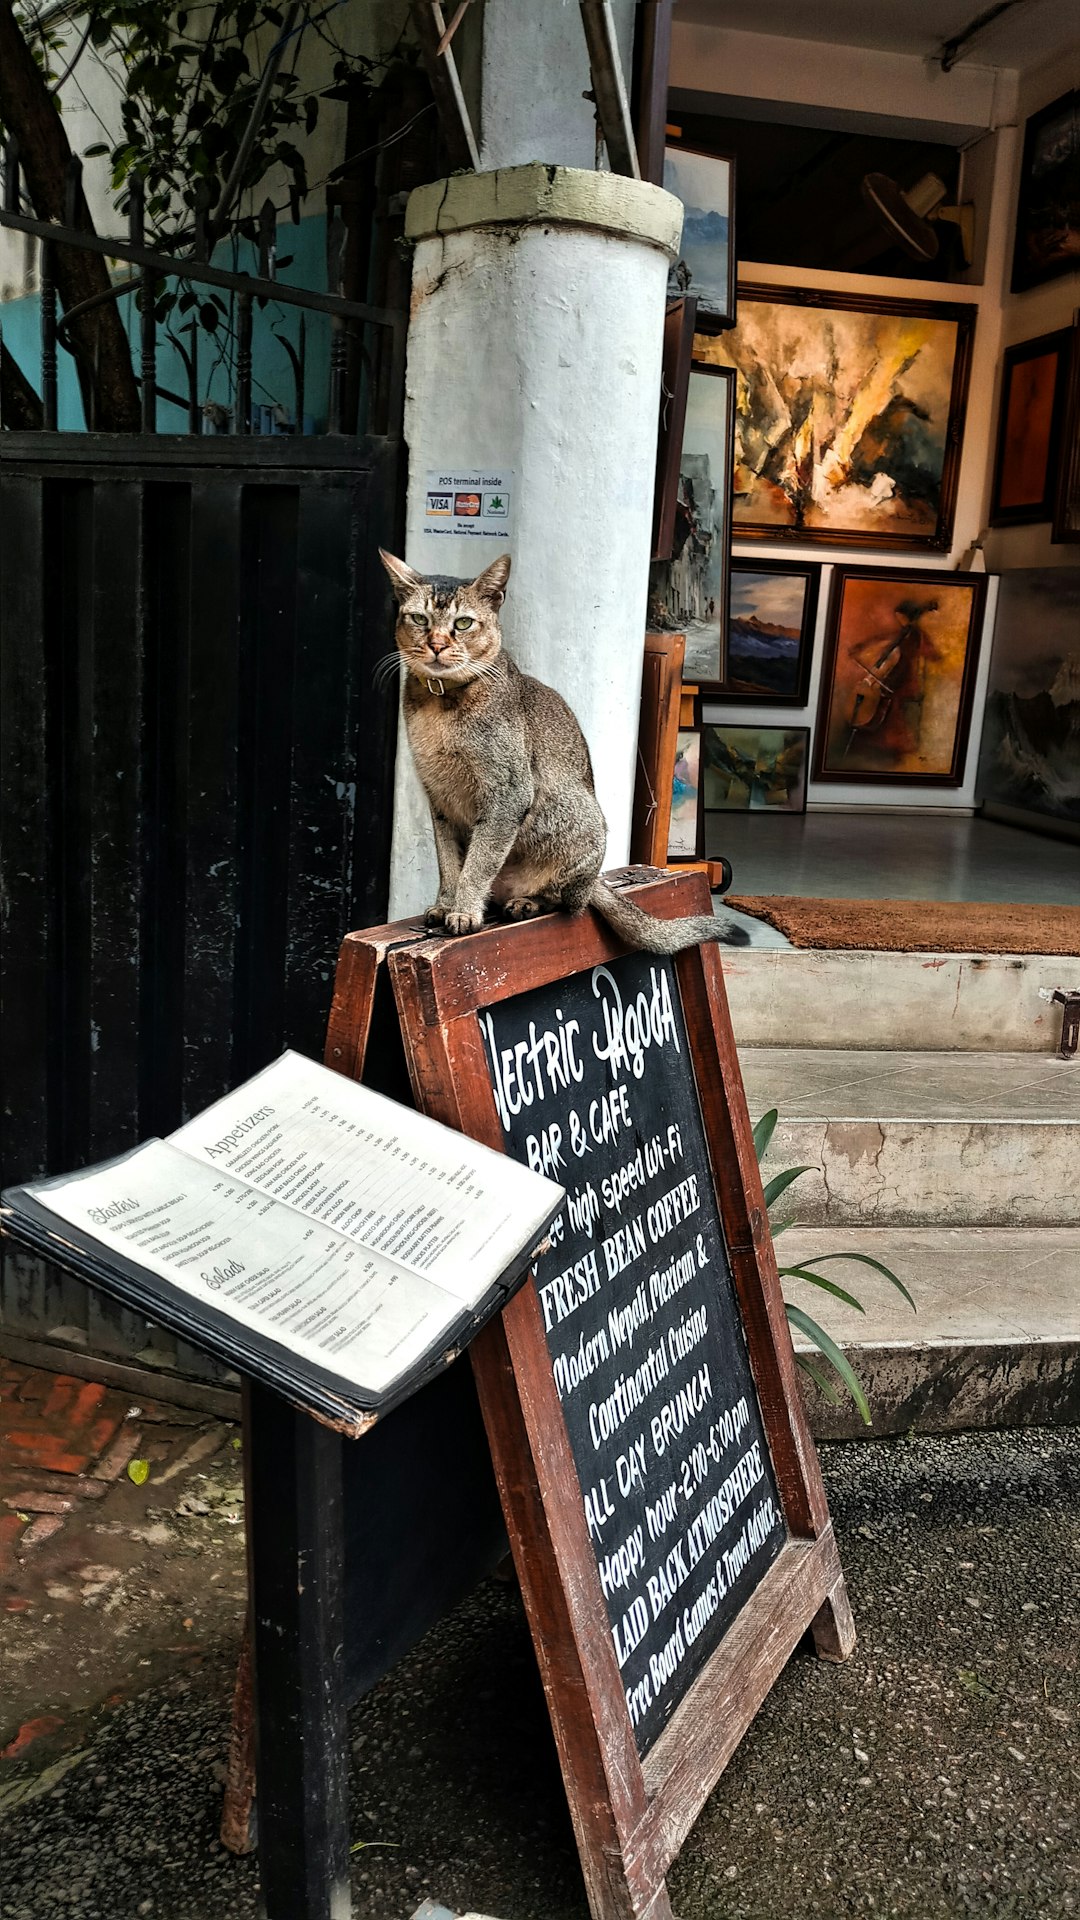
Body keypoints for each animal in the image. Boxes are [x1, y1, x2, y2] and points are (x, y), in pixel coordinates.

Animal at [380, 549, 749, 952]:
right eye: (419, 619)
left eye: (462, 624)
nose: (436, 644)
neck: (440, 707)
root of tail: (596, 879)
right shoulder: (440, 800)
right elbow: (450, 862)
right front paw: (445, 904)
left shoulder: (508, 792)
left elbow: (478, 862)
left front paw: (464, 911)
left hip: (580, 818)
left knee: (570, 902)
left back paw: (527, 902)